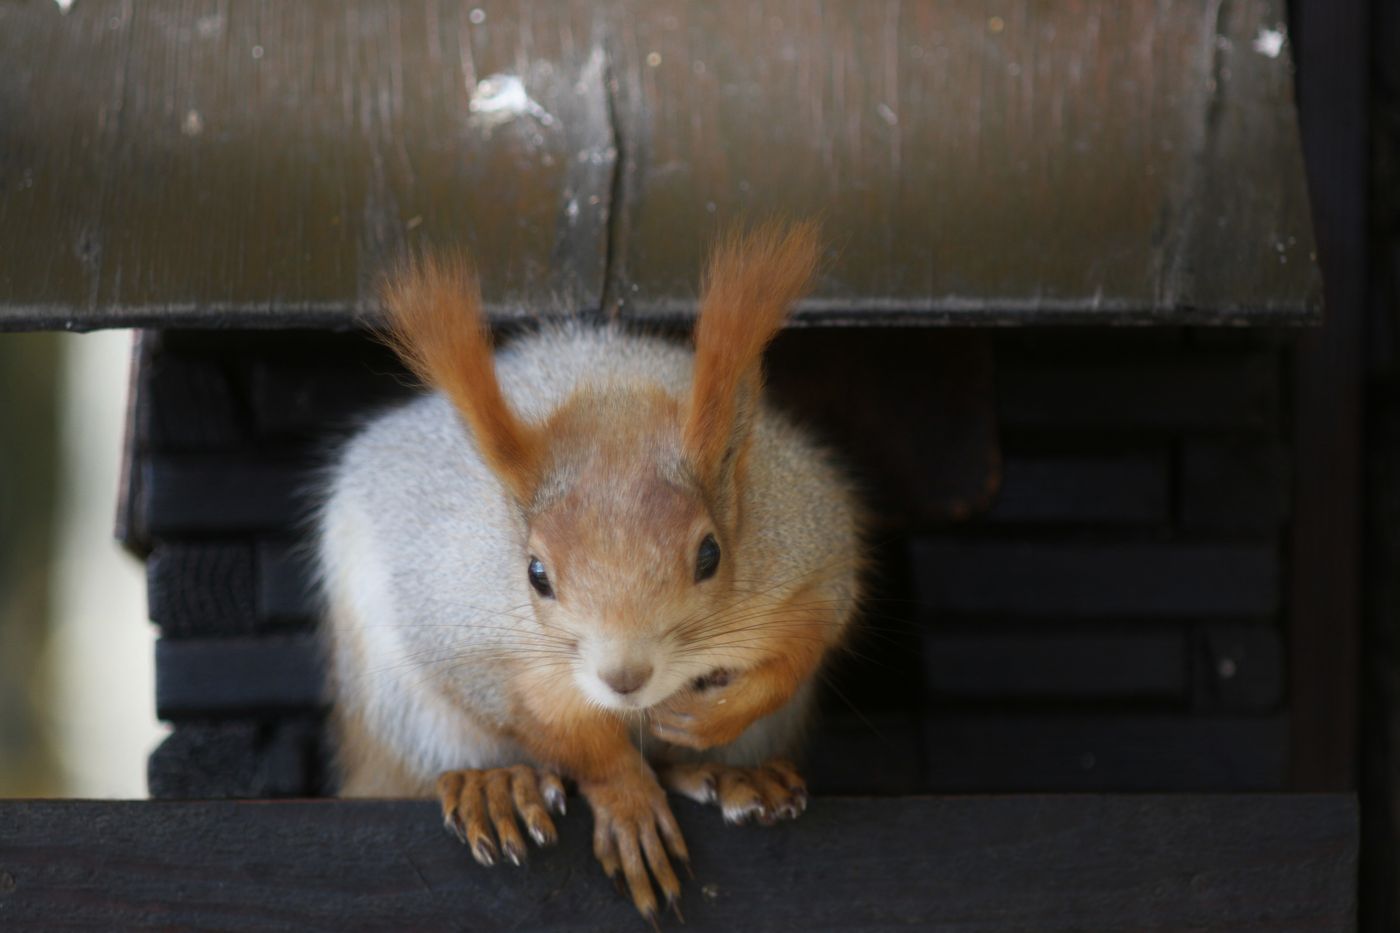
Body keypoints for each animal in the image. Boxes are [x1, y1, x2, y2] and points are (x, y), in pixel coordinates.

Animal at [316, 221, 863, 922]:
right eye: (535, 575)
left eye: (710, 555)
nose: (624, 677)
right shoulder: (459, 622)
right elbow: (549, 723)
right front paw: (625, 795)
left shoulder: (810, 556)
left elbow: (805, 642)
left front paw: (711, 717)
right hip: (403, 717)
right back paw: (496, 784)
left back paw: (730, 773)